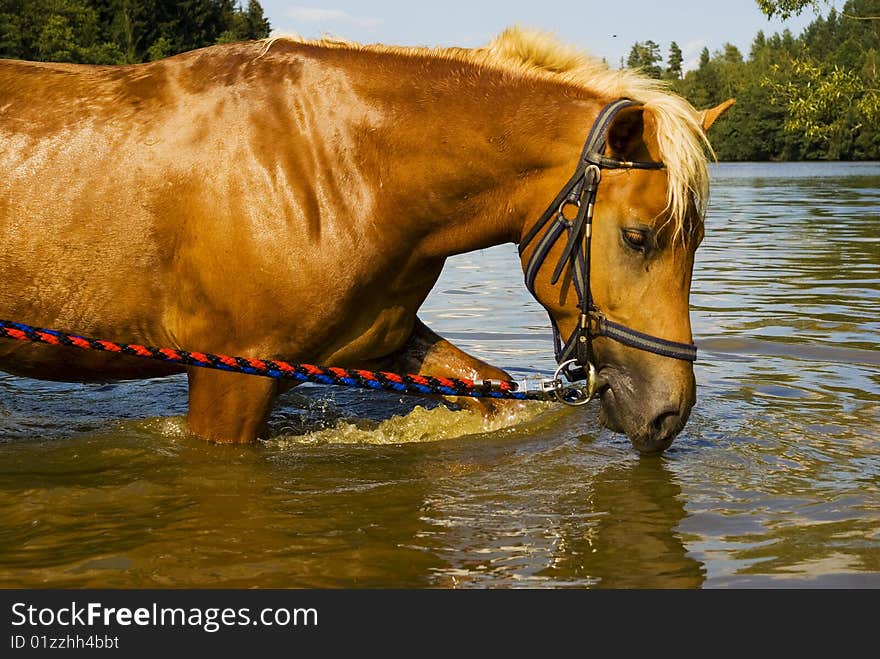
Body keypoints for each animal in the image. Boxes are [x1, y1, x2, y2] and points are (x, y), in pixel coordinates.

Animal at [0, 28, 728, 456]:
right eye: (637, 238)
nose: (668, 413)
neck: (336, 163)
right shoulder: (227, 377)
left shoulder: (378, 339)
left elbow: (488, 390)